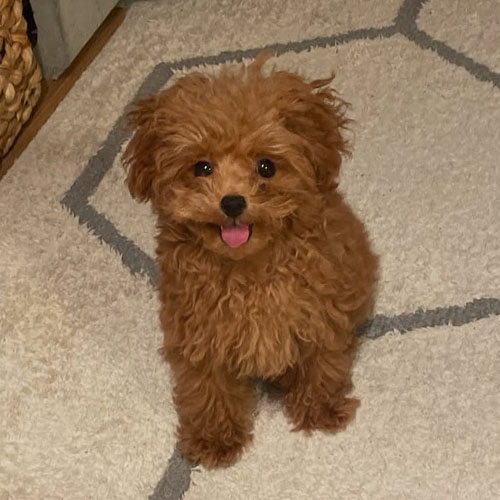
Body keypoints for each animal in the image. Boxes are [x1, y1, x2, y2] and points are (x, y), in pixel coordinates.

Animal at [123, 55, 378, 468]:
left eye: (266, 167)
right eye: (202, 167)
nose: (232, 202)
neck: (248, 269)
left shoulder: (320, 312)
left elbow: (322, 361)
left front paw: (320, 409)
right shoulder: (198, 333)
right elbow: (206, 386)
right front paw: (214, 439)